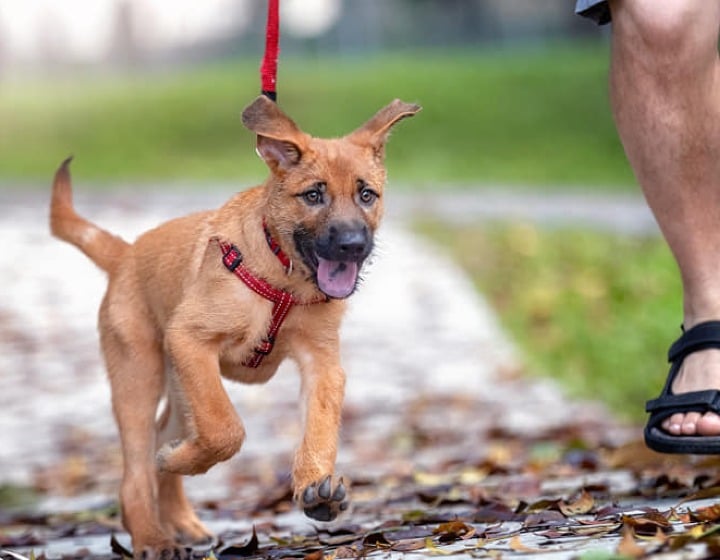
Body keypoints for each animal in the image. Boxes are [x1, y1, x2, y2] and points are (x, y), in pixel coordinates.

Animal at [47, 95, 420, 556]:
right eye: (314, 195)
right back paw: (152, 534)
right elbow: (225, 428)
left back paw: (181, 516)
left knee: (162, 439)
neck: (283, 277)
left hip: (179, 385)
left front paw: (317, 488)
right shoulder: (191, 340)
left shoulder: (322, 363)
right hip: (140, 375)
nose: (352, 245)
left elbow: (319, 423)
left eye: (367, 194)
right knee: (137, 469)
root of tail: (125, 253)